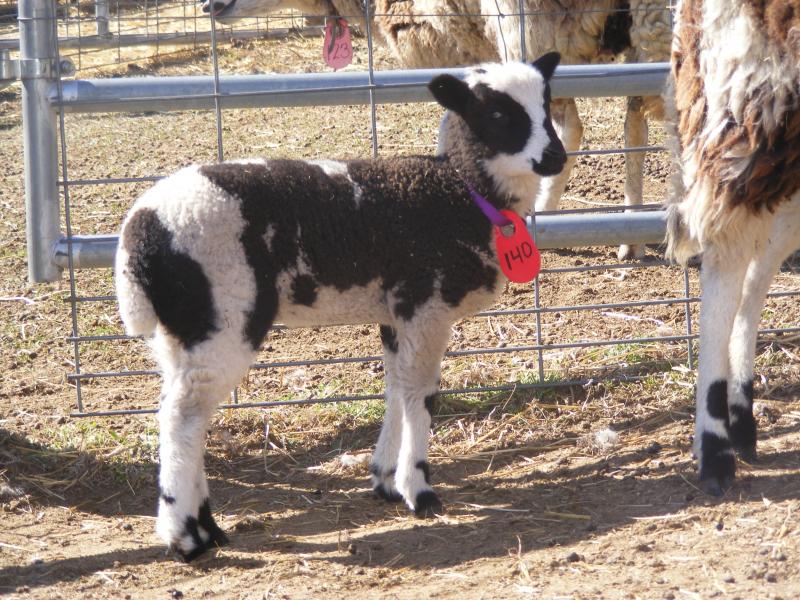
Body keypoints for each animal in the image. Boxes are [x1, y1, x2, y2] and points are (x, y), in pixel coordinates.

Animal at [115, 54, 566, 561]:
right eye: (498, 114)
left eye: (547, 102)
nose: (555, 157)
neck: (461, 191)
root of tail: (141, 231)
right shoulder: (426, 304)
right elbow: (421, 394)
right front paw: (419, 489)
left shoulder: (397, 313)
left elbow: (396, 388)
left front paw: (385, 479)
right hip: (224, 312)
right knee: (185, 416)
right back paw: (185, 536)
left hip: (180, 325)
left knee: (178, 407)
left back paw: (207, 526)